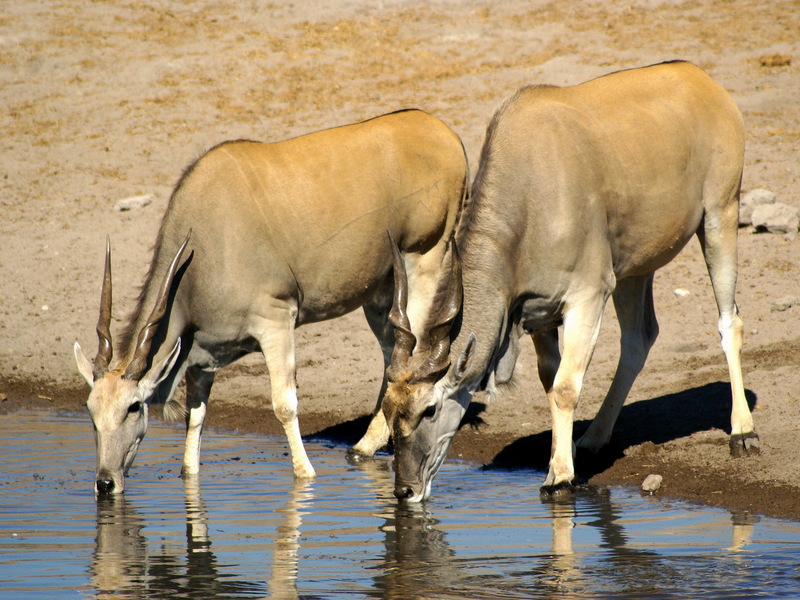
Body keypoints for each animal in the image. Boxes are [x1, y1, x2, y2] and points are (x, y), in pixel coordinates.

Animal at [73, 110, 468, 494]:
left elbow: (284, 405)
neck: (204, 241)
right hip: (383, 288)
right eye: (91, 412)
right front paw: (189, 473)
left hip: (423, 260)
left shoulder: (276, 321)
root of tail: (444, 133)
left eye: (133, 407)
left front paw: (306, 473)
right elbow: (196, 415)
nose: (105, 482)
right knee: (391, 353)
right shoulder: (202, 354)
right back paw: (364, 446)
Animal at [384, 62, 760, 502]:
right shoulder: (539, 315)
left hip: (720, 215)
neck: (531, 193)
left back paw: (742, 431)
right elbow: (551, 383)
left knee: (729, 321)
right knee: (639, 338)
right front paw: (562, 459)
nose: (405, 490)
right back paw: (594, 439)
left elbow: (565, 387)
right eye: (389, 411)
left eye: (429, 409)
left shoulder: (587, 297)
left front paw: (559, 476)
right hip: (635, 269)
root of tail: (702, 79)